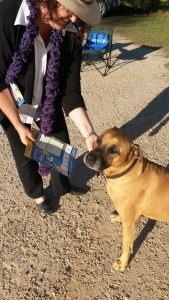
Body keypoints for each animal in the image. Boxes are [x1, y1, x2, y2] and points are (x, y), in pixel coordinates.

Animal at [84, 126, 169, 272]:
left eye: (114, 150)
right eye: (99, 140)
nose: (89, 157)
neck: (125, 172)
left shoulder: (130, 223)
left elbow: (125, 244)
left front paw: (122, 262)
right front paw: (118, 217)